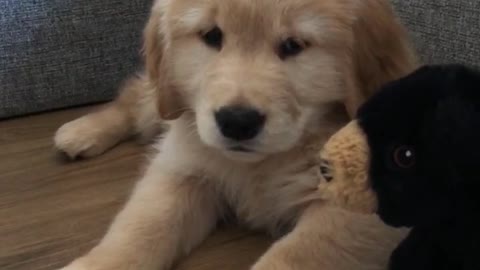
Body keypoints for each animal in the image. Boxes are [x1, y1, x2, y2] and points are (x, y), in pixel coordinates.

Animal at [55, 0, 416, 270]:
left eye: (294, 45)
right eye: (211, 35)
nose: (237, 121)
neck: (262, 164)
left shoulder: (361, 213)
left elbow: (297, 255)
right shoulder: (183, 169)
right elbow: (142, 226)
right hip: (163, 96)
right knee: (134, 98)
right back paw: (79, 132)